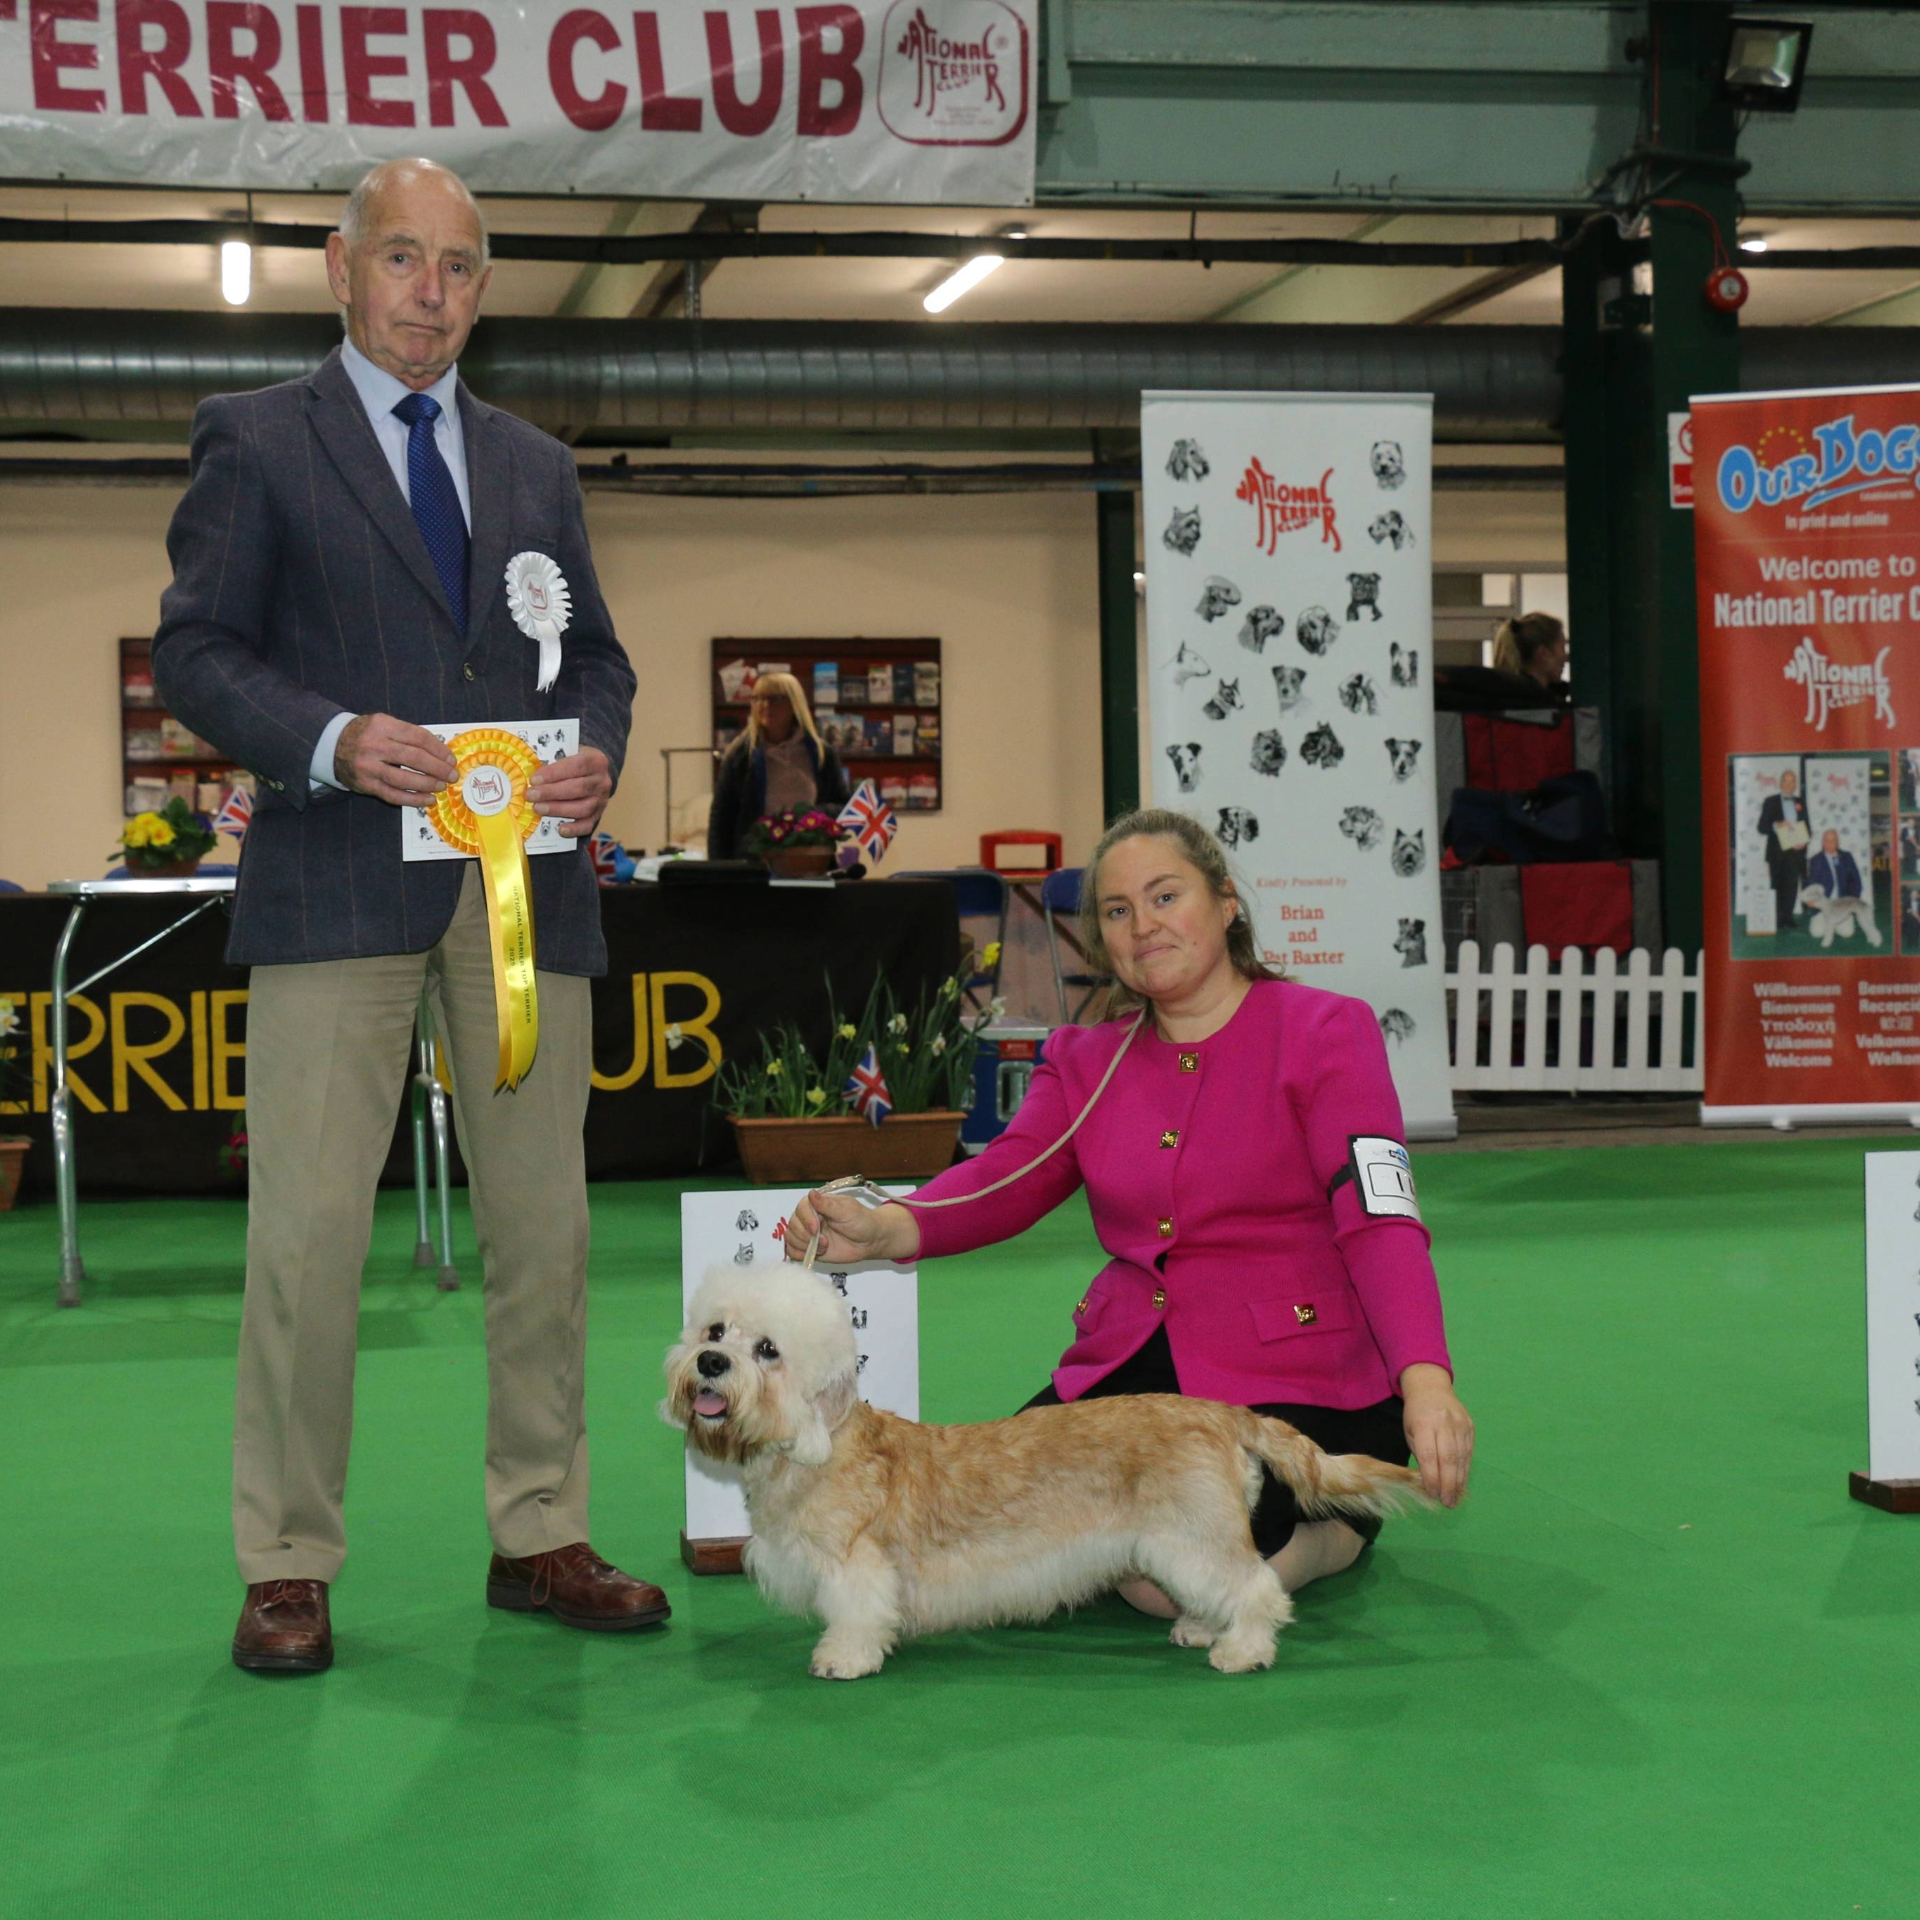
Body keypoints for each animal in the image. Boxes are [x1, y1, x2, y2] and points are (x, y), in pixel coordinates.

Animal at [663, 1267, 1429, 1680]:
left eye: (768, 1350)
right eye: (714, 1331)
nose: (710, 1364)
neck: (814, 1448)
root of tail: (1222, 1412)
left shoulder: (855, 1570)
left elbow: (857, 1615)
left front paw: (842, 1659)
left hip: (1191, 1536)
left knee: (1258, 1587)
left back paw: (1241, 1648)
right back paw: (1200, 1628)